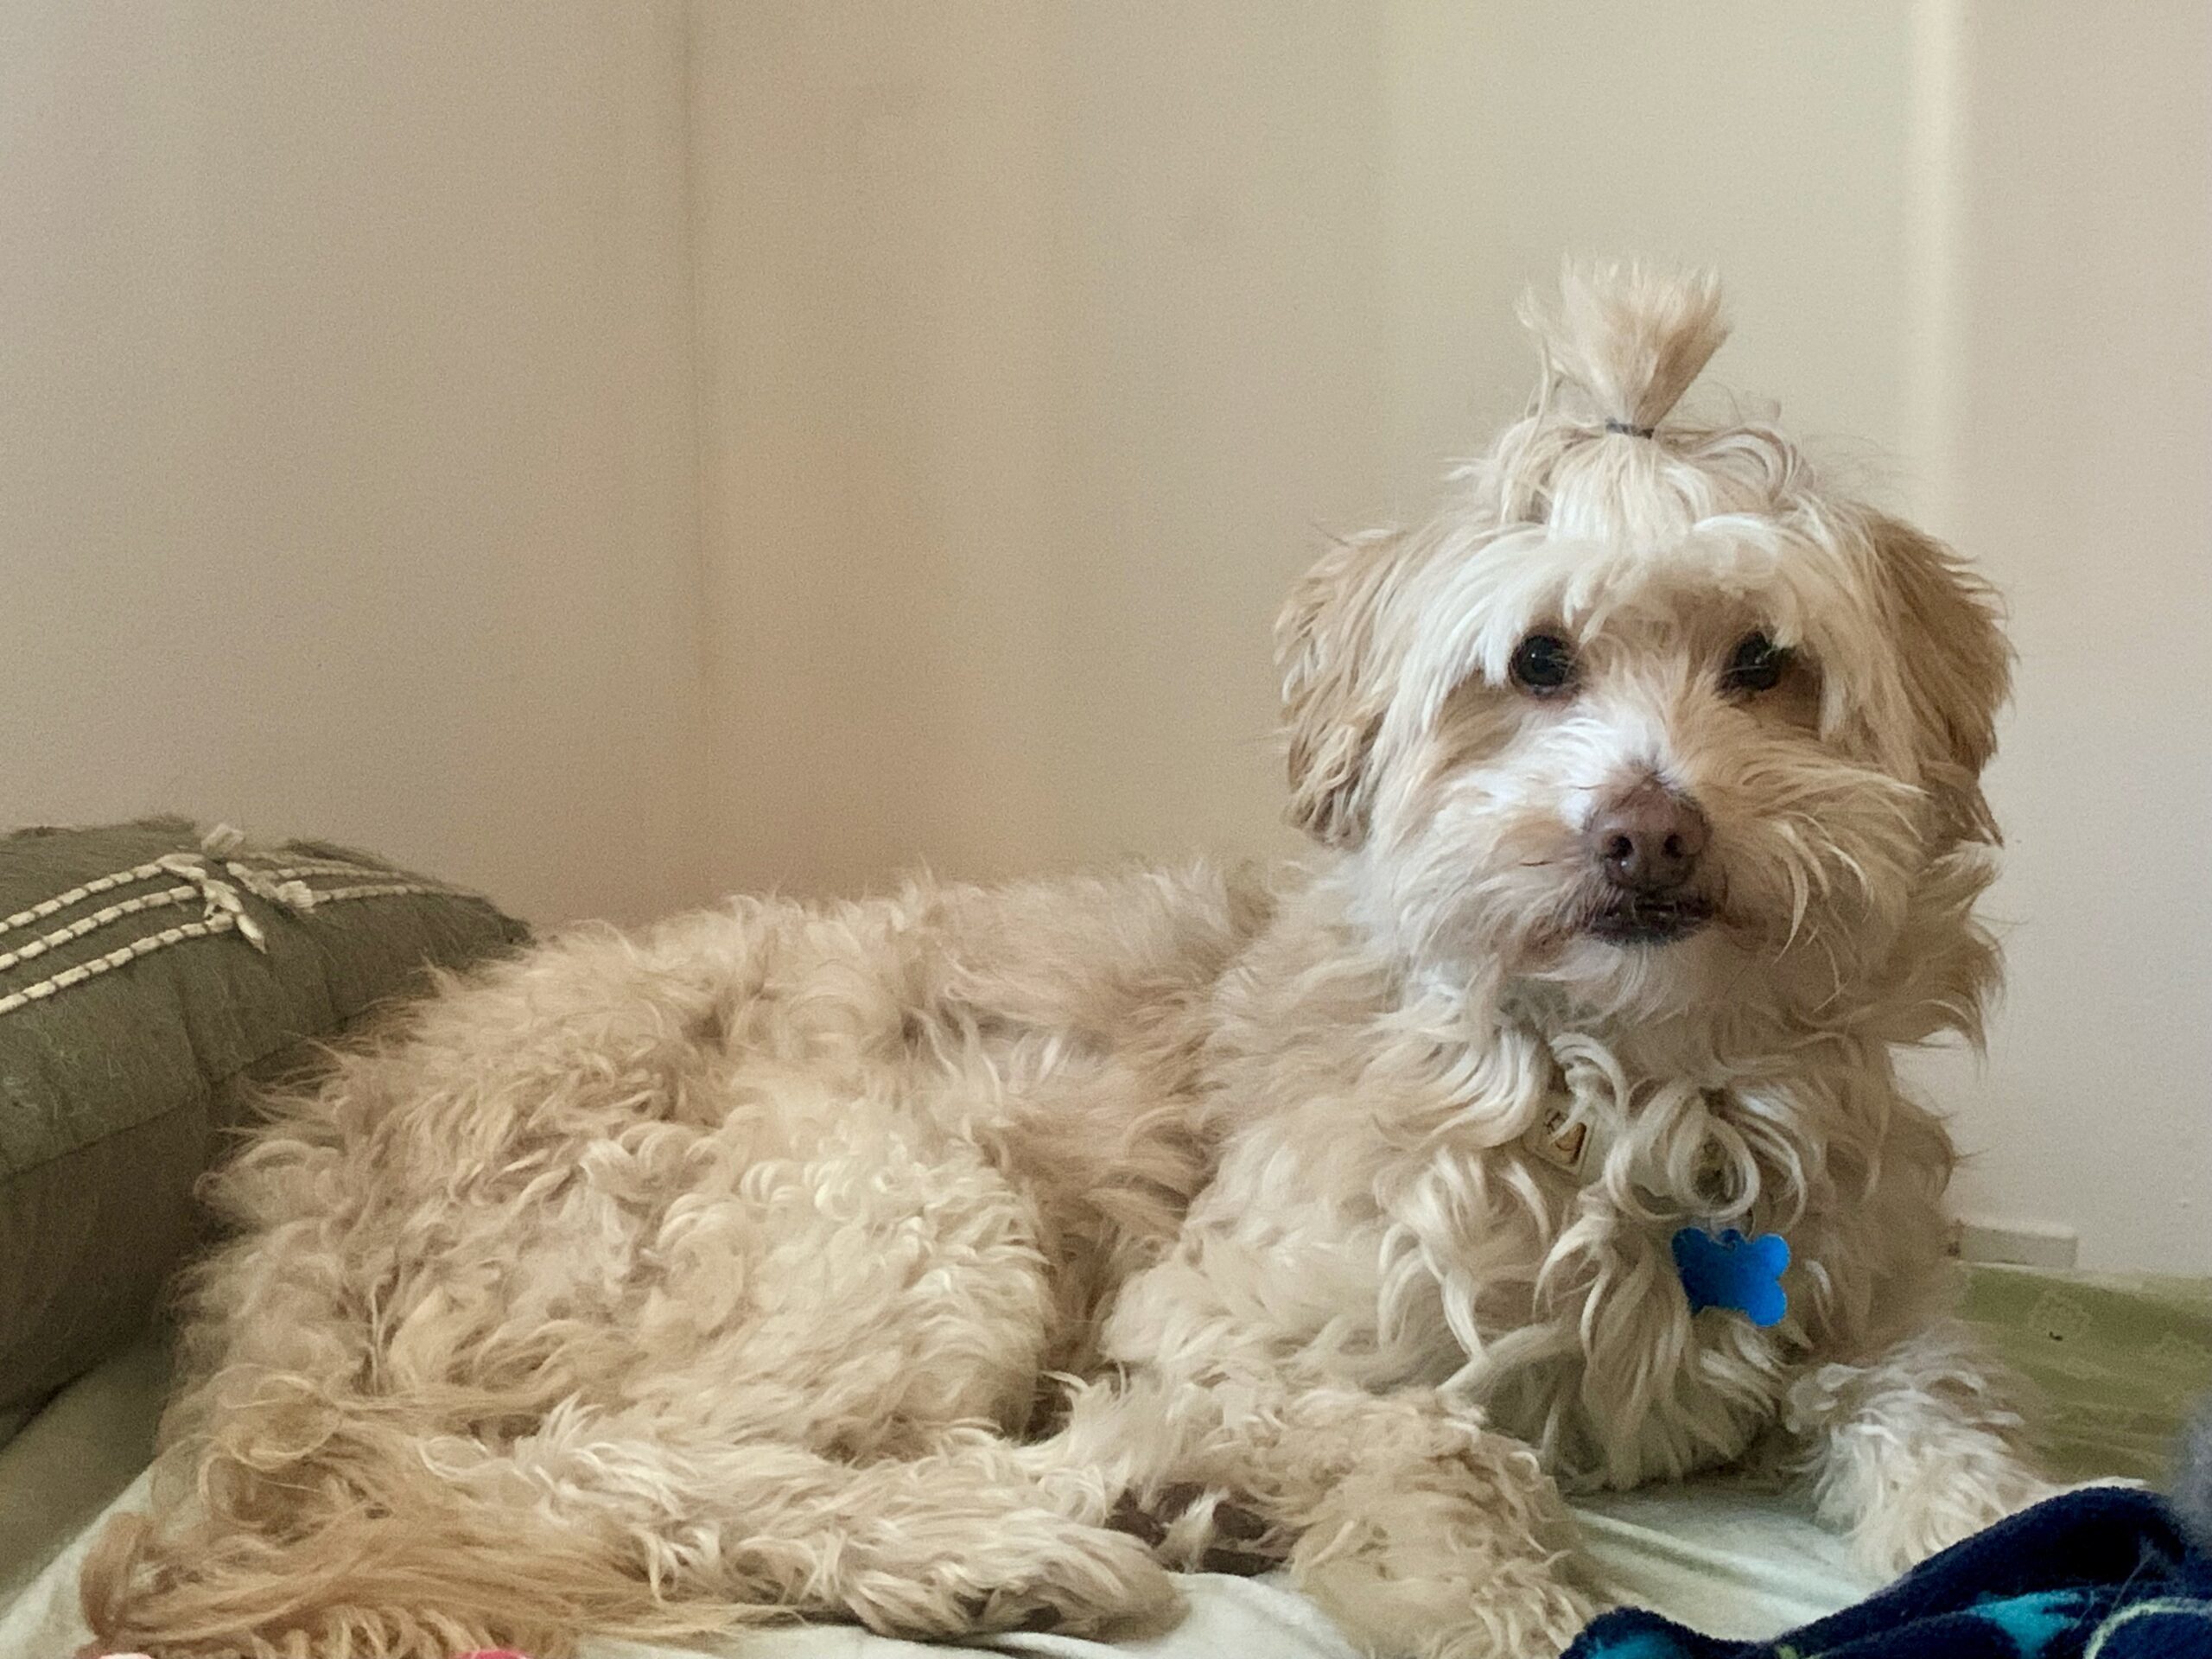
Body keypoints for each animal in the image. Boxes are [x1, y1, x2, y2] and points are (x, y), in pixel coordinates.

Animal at [95, 266, 2044, 1659]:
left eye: (1765, 666)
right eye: (1539, 664)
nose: (1647, 832)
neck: (1633, 1084)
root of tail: (305, 1182)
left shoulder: (1878, 1316)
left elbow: (1961, 1444)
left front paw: (1984, 1534)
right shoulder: (1231, 1326)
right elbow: (1432, 1441)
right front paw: (1500, 1596)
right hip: (908, 1210)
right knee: (596, 1464)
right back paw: (1030, 1532)